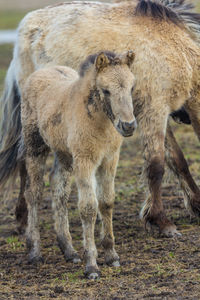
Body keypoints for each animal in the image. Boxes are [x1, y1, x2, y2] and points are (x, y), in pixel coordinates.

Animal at [0, 1, 200, 238]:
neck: (178, 49)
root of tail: (25, 28)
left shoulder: (152, 115)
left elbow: (177, 160)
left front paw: (196, 205)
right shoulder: (156, 110)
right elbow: (156, 166)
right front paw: (161, 222)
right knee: (26, 160)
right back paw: (24, 221)